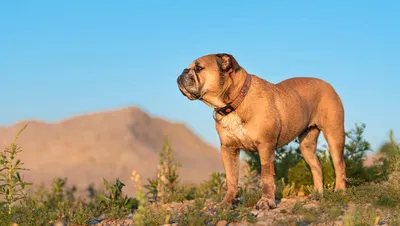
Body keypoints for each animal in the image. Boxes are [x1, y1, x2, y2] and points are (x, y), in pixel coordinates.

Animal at [177, 53, 346, 210]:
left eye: (198, 68)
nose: (183, 71)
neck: (235, 102)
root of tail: (327, 85)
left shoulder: (265, 146)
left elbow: (266, 177)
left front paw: (266, 201)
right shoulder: (228, 149)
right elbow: (231, 179)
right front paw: (227, 203)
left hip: (334, 135)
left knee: (339, 164)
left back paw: (340, 191)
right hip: (307, 145)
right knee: (316, 167)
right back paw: (317, 194)